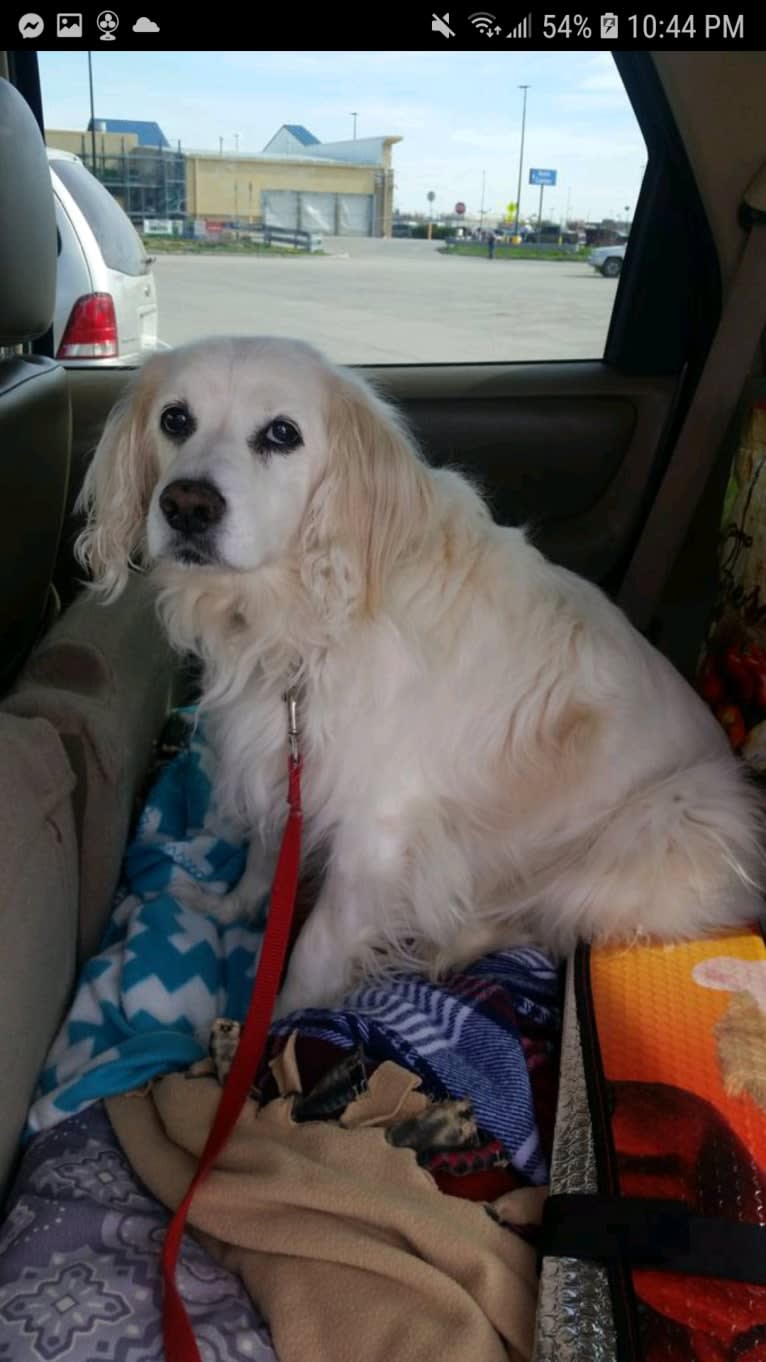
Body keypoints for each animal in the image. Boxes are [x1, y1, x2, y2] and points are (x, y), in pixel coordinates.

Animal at [75, 332, 757, 1013]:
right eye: (175, 420)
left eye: (282, 433)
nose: (187, 505)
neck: (306, 621)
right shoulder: (282, 768)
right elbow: (266, 864)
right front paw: (230, 909)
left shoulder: (375, 836)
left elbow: (313, 951)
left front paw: (284, 1026)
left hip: (669, 824)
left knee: (538, 923)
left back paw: (441, 949)